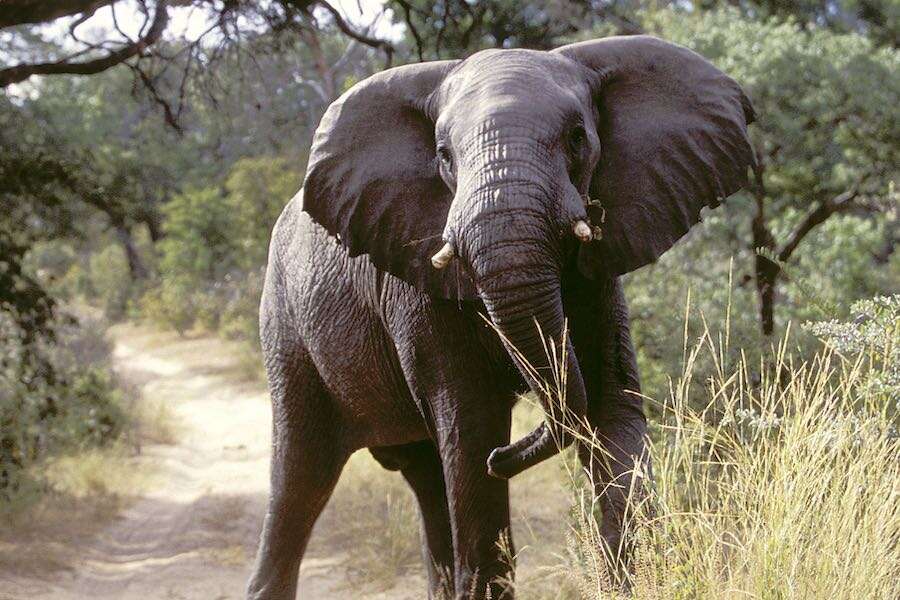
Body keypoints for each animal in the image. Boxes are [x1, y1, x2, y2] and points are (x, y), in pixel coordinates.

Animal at [246, 35, 755, 600]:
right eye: (444, 156)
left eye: (578, 138)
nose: (505, 457)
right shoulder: (416, 289)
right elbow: (471, 428)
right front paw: (489, 458)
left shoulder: (599, 276)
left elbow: (610, 410)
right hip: (285, 327)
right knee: (301, 478)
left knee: (425, 476)